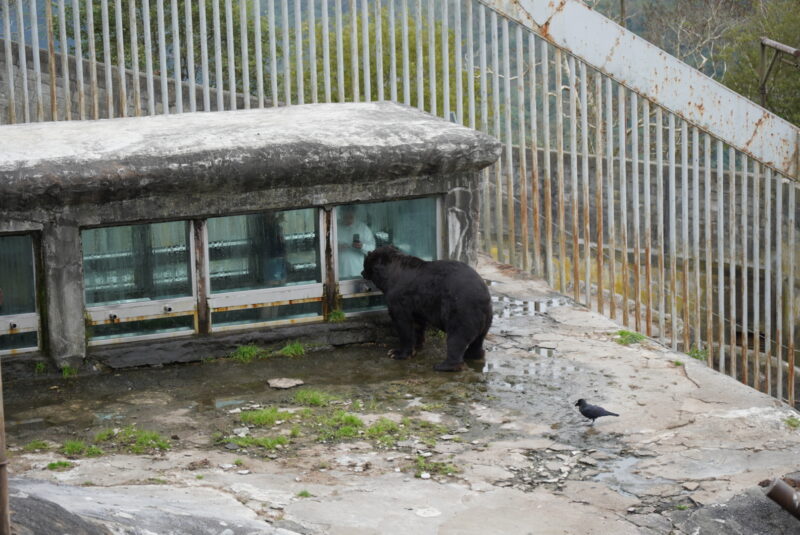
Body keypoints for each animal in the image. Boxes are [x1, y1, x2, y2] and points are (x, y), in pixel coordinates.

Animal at [360, 247, 490, 372]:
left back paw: (443, 366)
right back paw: (472, 355)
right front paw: (417, 345)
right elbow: (418, 323)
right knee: (478, 340)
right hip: (486, 317)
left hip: (460, 310)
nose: (362, 273)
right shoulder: (417, 303)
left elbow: (403, 322)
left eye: (365, 264)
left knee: (457, 337)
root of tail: (483, 295)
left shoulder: (399, 297)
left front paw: (396, 352)